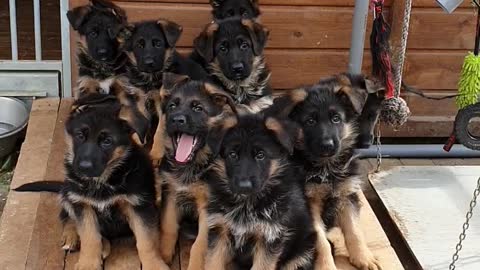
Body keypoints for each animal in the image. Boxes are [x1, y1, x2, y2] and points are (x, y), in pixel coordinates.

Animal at [14, 94, 169, 270]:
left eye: (107, 141)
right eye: (80, 136)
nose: (83, 167)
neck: (103, 181)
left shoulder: (139, 206)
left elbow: (146, 241)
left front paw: (154, 264)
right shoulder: (83, 204)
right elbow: (89, 237)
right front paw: (88, 263)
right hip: (68, 191)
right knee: (67, 215)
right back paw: (71, 237)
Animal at [202, 113, 316, 270]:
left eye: (260, 155)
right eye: (232, 154)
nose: (244, 186)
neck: (247, 203)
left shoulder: (270, 236)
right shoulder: (220, 229)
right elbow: (212, 262)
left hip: (302, 253)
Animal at [270, 74, 382, 270]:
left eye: (336, 118)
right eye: (310, 121)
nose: (327, 145)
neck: (326, 169)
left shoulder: (346, 195)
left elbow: (354, 230)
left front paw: (363, 257)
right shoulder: (309, 204)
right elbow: (320, 241)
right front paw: (326, 266)